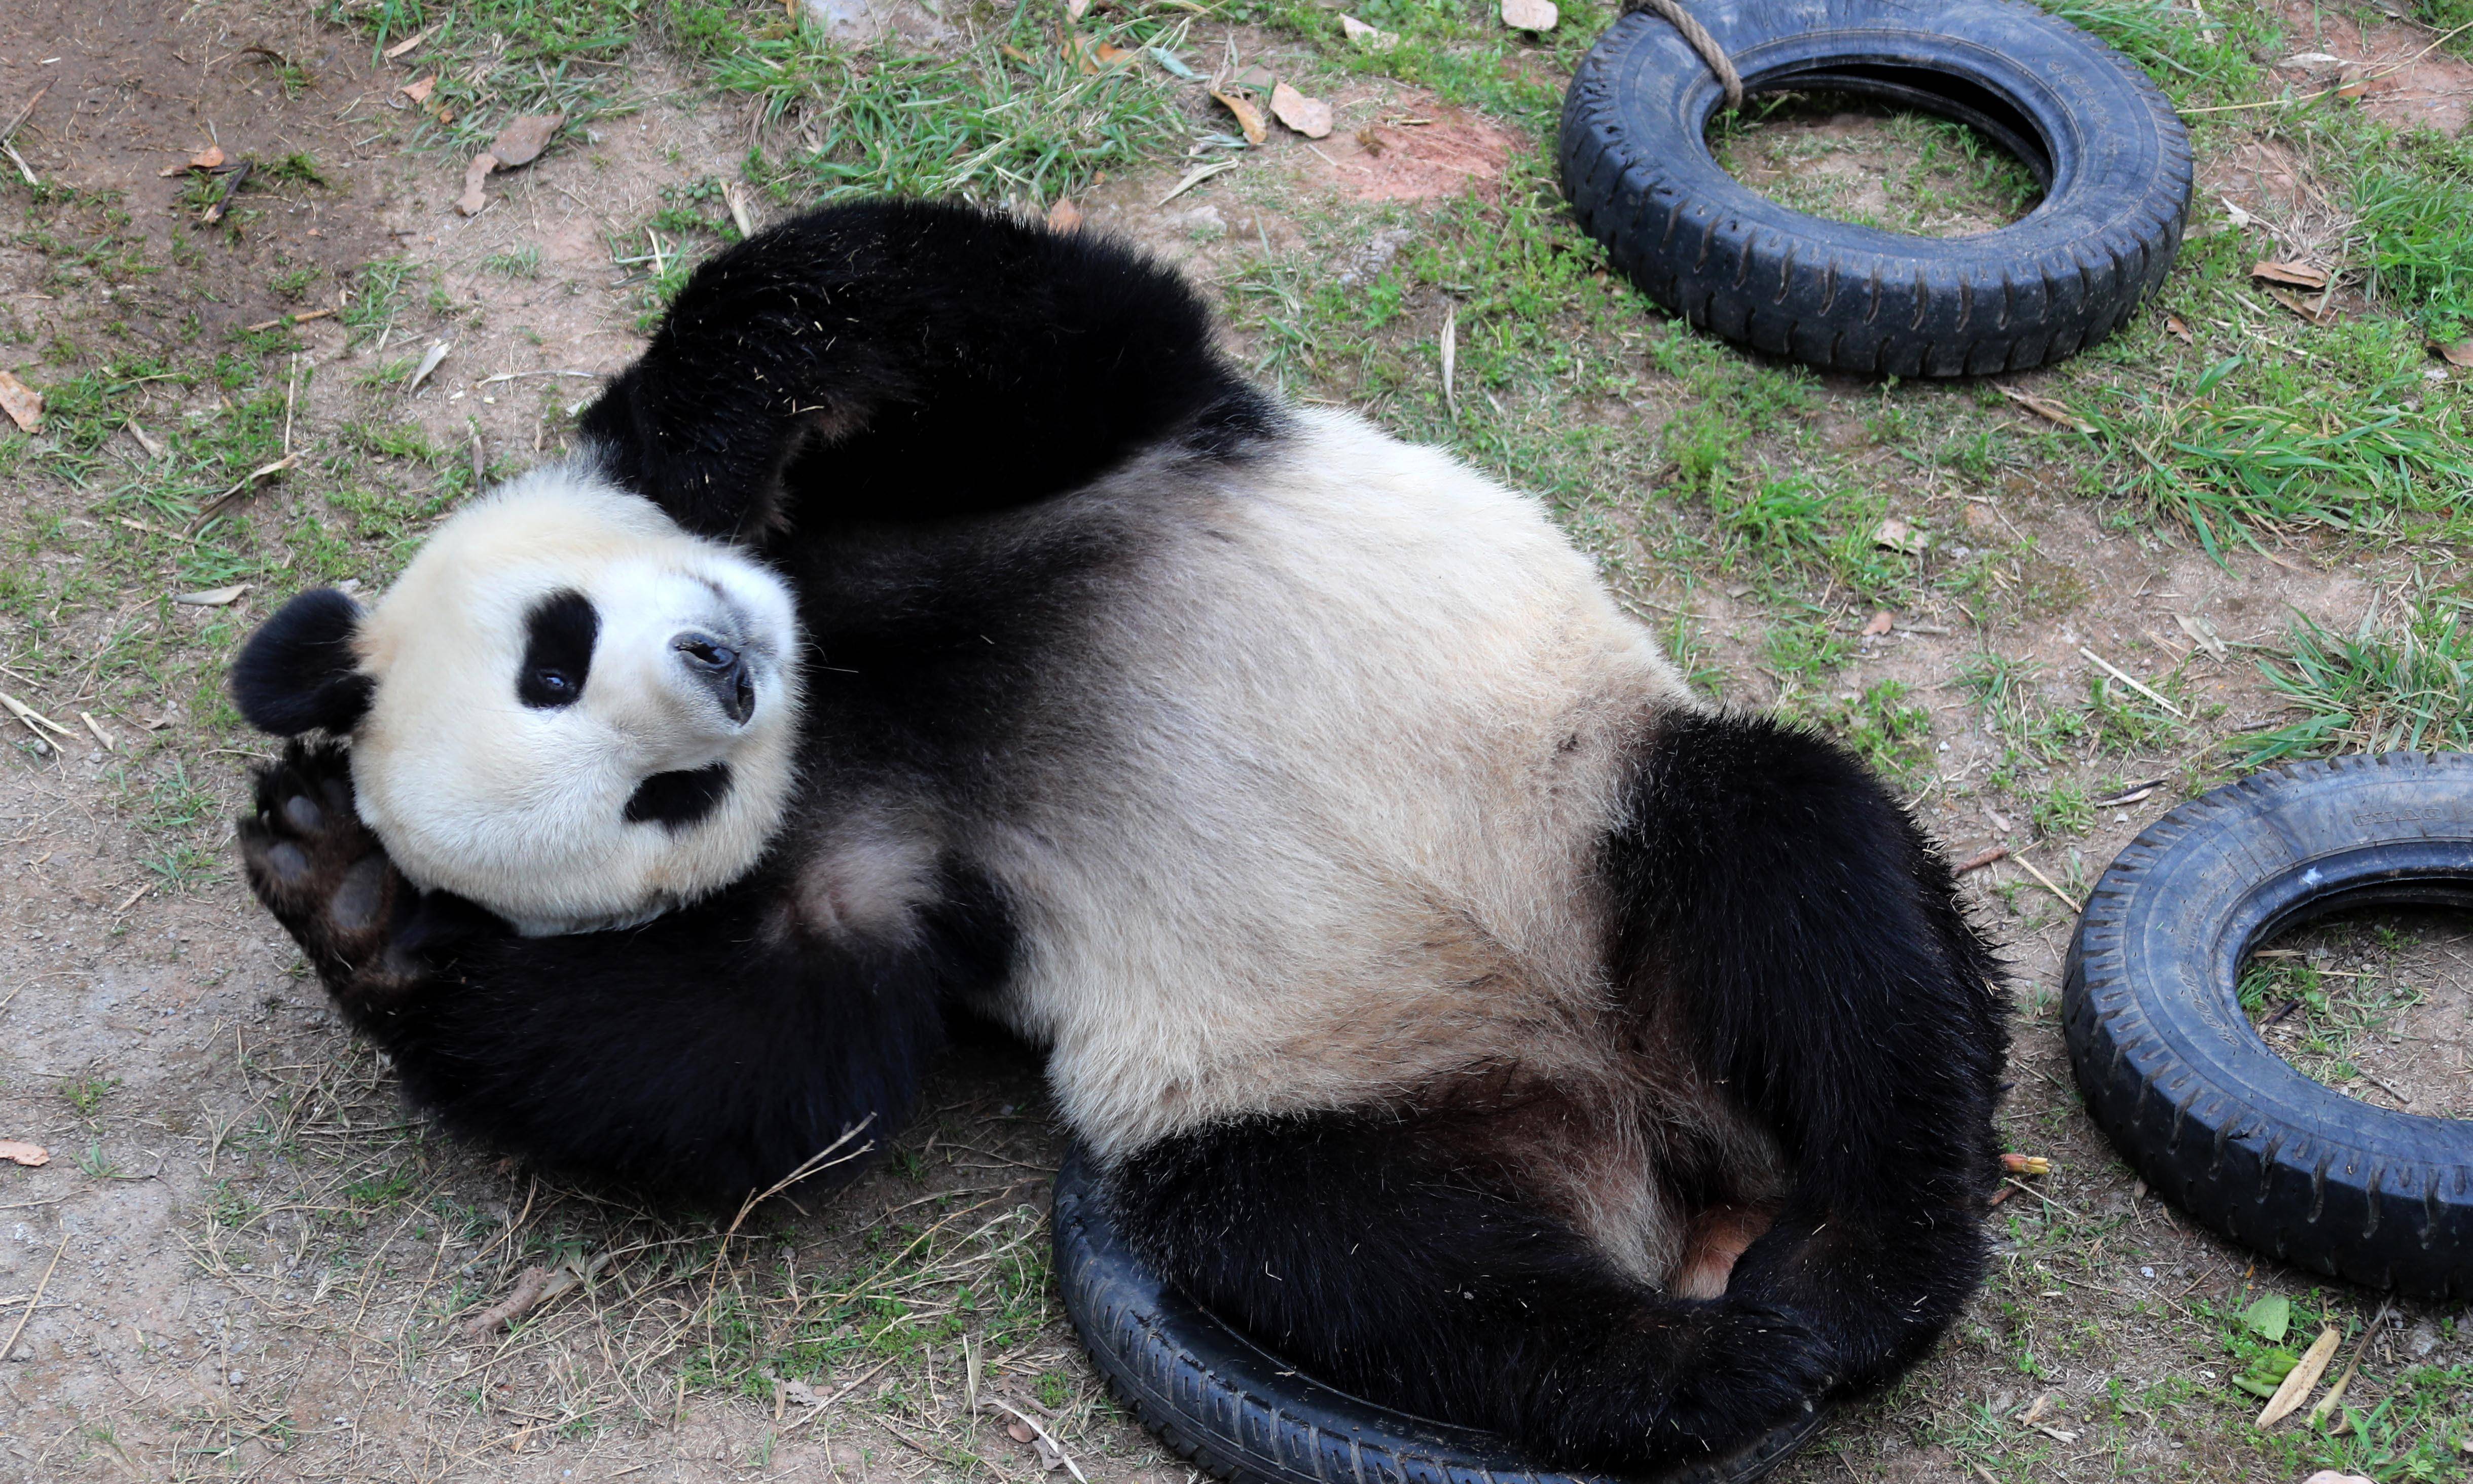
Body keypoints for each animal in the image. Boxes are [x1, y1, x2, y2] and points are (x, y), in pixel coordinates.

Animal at [227, 194, 2008, 1474]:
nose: (722, 676)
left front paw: (682, 444)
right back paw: (1693, 1366)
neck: (853, 686)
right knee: (1374, 1262)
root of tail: (1645, 1127)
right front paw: (349, 901)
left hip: (1583, 812)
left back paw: (1853, 1271)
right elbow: (764, 1062)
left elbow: (978, 312)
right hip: (1332, 1099)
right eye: (658, 801)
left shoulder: (1028, 453)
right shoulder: (878, 869)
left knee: (1809, 898)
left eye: (557, 647)